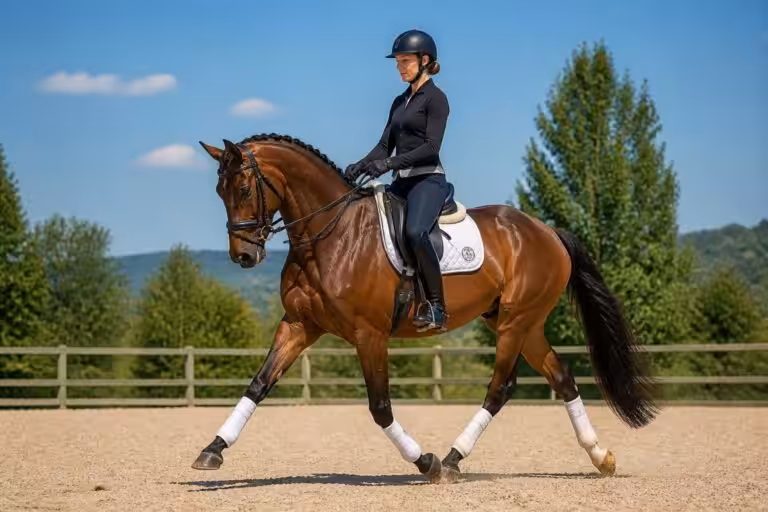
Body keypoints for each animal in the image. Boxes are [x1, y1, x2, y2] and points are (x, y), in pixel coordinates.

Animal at [190, 133, 658, 483]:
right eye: (218, 191)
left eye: (244, 188)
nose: (243, 257)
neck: (330, 235)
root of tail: (547, 231)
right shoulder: (299, 324)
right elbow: (258, 384)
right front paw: (212, 450)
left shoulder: (369, 334)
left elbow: (380, 408)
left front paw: (425, 462)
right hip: (522, 323)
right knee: (561, 376)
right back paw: (600, 457)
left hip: (515, 322)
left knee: (500, 388)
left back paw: (451, 459)